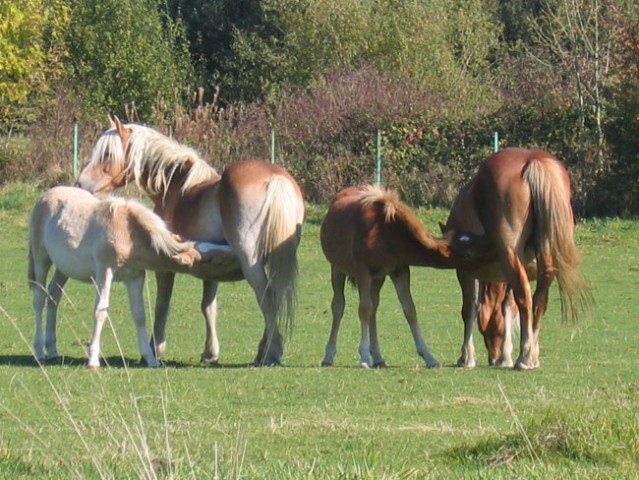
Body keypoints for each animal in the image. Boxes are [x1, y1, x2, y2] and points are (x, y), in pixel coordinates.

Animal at [28, 187, 218, 368]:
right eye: (206, 259)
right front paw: (93, 360)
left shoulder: (135, 277)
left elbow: (139, 314)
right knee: (39, 299)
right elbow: (100, 310)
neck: (127, 234)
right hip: (41, 259)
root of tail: (44, 196)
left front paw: (150, 359)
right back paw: (39, 352)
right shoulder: (104, 272)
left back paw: (52, 350)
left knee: (53, 296)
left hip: (63, 268)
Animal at [76, 118, 304, 366]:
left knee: (267, 298)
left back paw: (271, 352)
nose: (80, 184)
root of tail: (275, 179)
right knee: (275, 297)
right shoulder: (211, 268)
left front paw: (155, 348)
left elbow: (162, 306)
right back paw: (264, 350)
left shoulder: (165, 266)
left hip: (251, 262)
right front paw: (210, 352)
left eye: (107, 154)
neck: (176, 187)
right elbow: (208, 307)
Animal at [320, 184, 496, 368]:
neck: (383, 231)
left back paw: (378, 357)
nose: (492, 246)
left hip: (378, 277)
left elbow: (409, 309)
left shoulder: (399, 269)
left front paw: (429, 357)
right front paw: (364, 357)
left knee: (374, 306)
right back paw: (329, 356)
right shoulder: (363, 272)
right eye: (469, 252)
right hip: (337, 268)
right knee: (339, 305)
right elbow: (364, 309)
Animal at [442, 148, 592, 370]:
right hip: (540, 259)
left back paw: (525, 357)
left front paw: (467, 357)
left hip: (510, 255)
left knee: (525, 297)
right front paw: (506, 356)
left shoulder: (466, 271)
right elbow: (507, 308)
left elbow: (470, 308)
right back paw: (531, 354)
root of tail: (532, 160)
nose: (493, 358)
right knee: (539, 298)